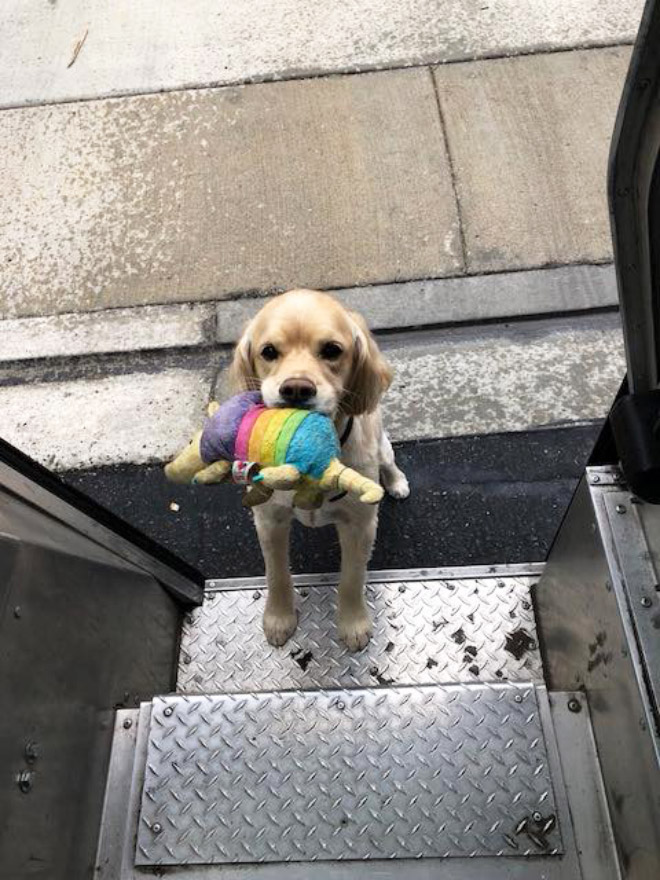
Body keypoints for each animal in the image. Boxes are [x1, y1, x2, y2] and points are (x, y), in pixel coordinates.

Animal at [229, 286, 410, 648]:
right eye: (268, 352)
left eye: (332, 350)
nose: (296, 388)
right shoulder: (268, 520)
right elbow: (276, 573)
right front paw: (279, 618)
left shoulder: (360, 525)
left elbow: (352, 578)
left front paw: (353, 624)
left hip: (381, 442)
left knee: (390, 461)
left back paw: (397, 483)